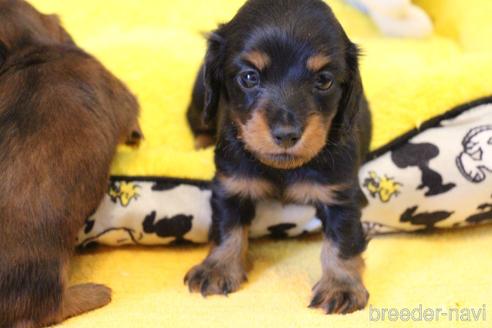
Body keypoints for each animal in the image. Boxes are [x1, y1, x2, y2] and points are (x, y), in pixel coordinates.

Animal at [186, 0, 370, 314]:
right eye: (249, 77)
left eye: (324, 80)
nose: (286, 135)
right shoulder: (231, 185)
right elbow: (227, 229)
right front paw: (218, 268)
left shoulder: (341, 196)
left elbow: (342, 242)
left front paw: (341, 286)